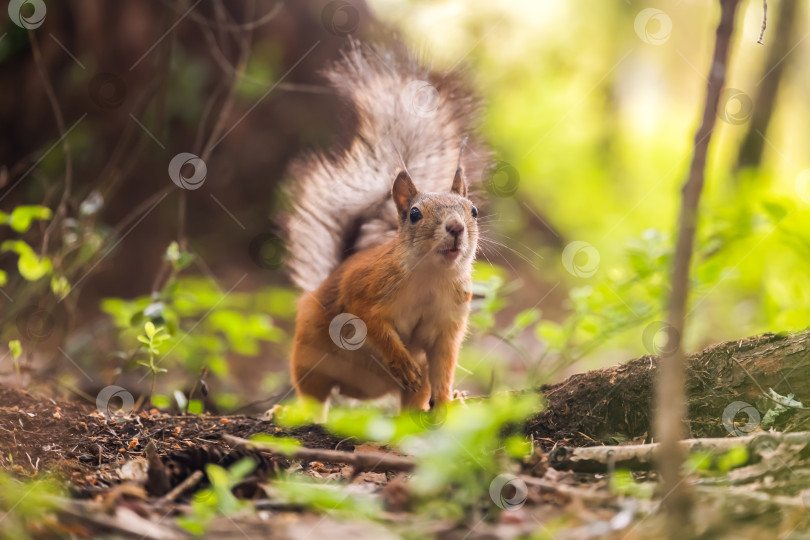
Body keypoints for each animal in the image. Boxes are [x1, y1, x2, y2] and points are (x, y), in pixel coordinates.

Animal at [282, 40, 486, 416]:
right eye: (415, 214)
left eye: (474, 211)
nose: (455, 228)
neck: (431, 277)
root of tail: (360, 392)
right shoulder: (366, 288)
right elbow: (372, 324)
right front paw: (400, 360)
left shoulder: (448, 325)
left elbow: (443, 364)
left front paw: (448, 399)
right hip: (309, 355)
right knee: (314, 395)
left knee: (417, 392)